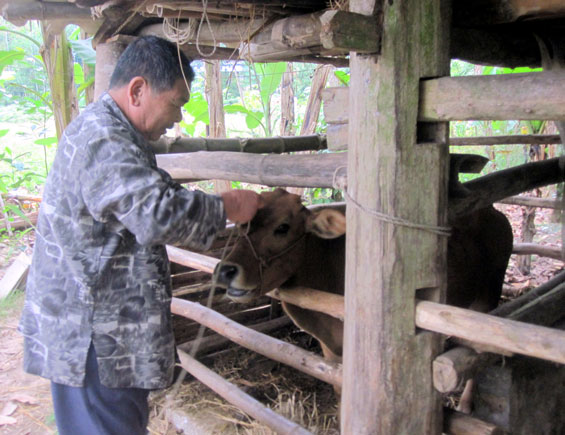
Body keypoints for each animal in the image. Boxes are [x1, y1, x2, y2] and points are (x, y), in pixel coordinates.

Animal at [214, 188, 512, 368]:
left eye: (283, 227)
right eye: (242, 226)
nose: (225, 271)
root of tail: (496, 213)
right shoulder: (331, 352)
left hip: (489, 297)